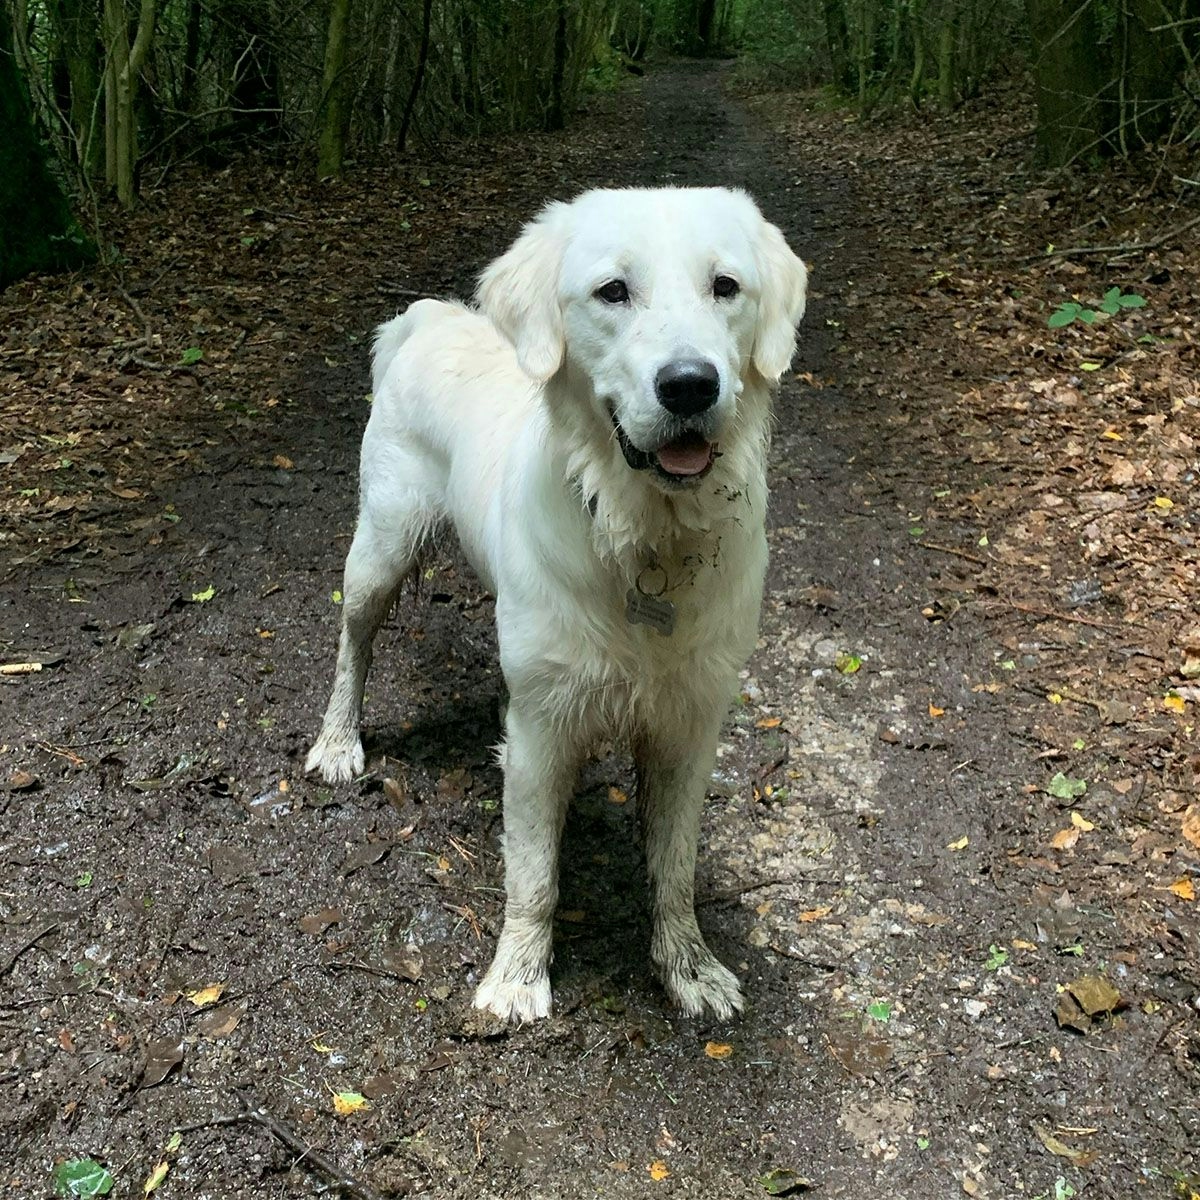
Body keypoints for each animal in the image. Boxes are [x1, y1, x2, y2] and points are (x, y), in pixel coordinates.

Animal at [307, 187, 806, 1022]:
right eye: (613, 291)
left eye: (726, 286)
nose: (690, 384)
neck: (643, 538)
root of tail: (427, 317)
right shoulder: (543, 732)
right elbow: (534, 875)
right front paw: (516, 977)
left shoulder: (690, 724)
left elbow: (674, 869)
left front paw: (689, 967)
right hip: (381, 544)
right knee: (354, 643)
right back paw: (338, 741)